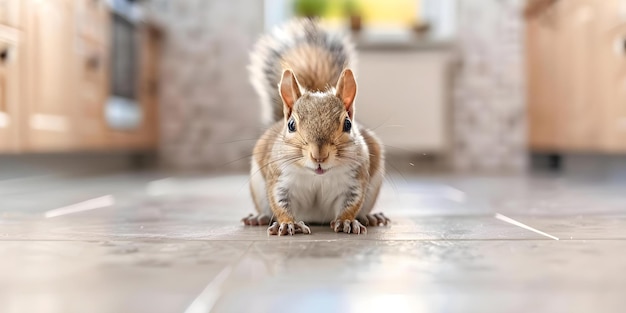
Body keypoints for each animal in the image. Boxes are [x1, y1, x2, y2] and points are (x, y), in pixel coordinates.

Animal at [241, 18, 388, 235]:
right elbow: (280, 203)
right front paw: (288, 223)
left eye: (347, 124)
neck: (317, 176)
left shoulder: (354, 181)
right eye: (291, 125)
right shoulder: (279, 180)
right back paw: (259, 218)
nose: (319, 156)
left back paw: (370, 217)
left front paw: (347, 221)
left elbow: (351, 204)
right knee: (267, 210)